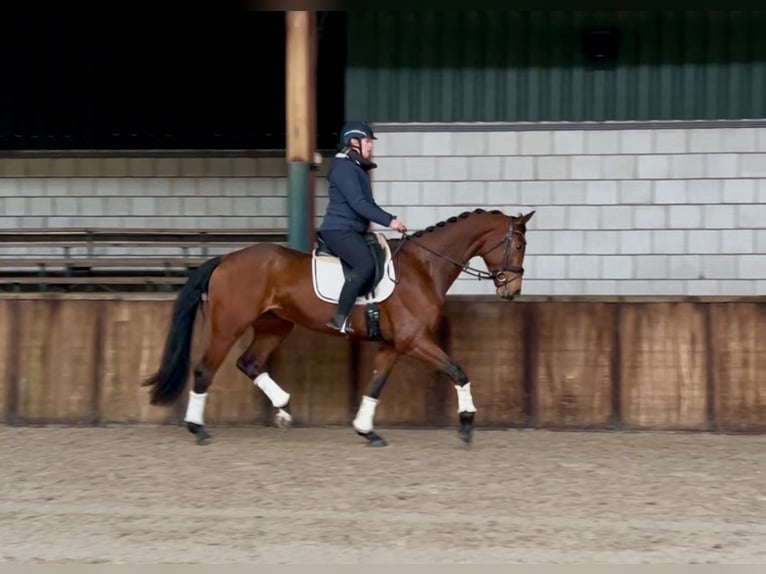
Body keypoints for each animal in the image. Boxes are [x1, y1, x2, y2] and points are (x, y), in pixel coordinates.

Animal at [147, 209, 536, 448]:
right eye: (518, 245)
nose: (512, 291)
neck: (423, 266)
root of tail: (225, 259)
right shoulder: (414, 341)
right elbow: (458, 370)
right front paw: (467, 424)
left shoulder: (394, 345)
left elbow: (376, 385)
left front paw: (366, 431)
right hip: (228, 326)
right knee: (205, 369)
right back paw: (198, 429)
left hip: (275, 325)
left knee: (250, 363)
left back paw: (284, 408)